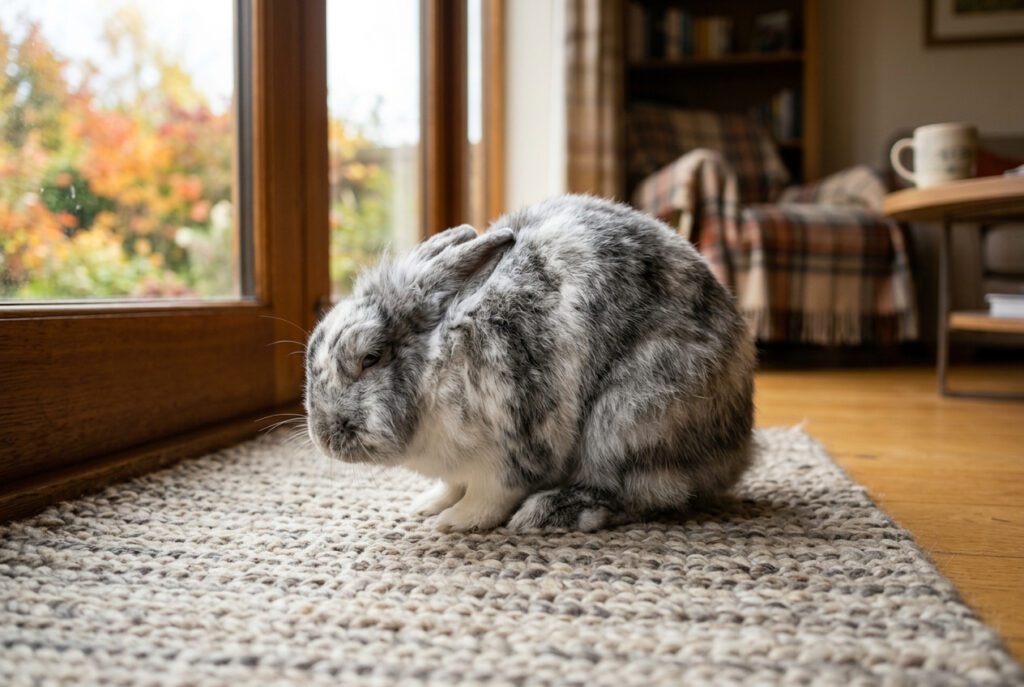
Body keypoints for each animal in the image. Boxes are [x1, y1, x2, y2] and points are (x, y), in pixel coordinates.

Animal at [304, 194, 755, 532]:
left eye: (371, 358)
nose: (324, 438)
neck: (436, 363)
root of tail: (737, 447)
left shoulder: (510, 448)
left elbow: (488, 496)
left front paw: (454, 522)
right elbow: (452, 485)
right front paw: (428, 505)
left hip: (630, 418)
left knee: (642, 493)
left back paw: (548, 513)